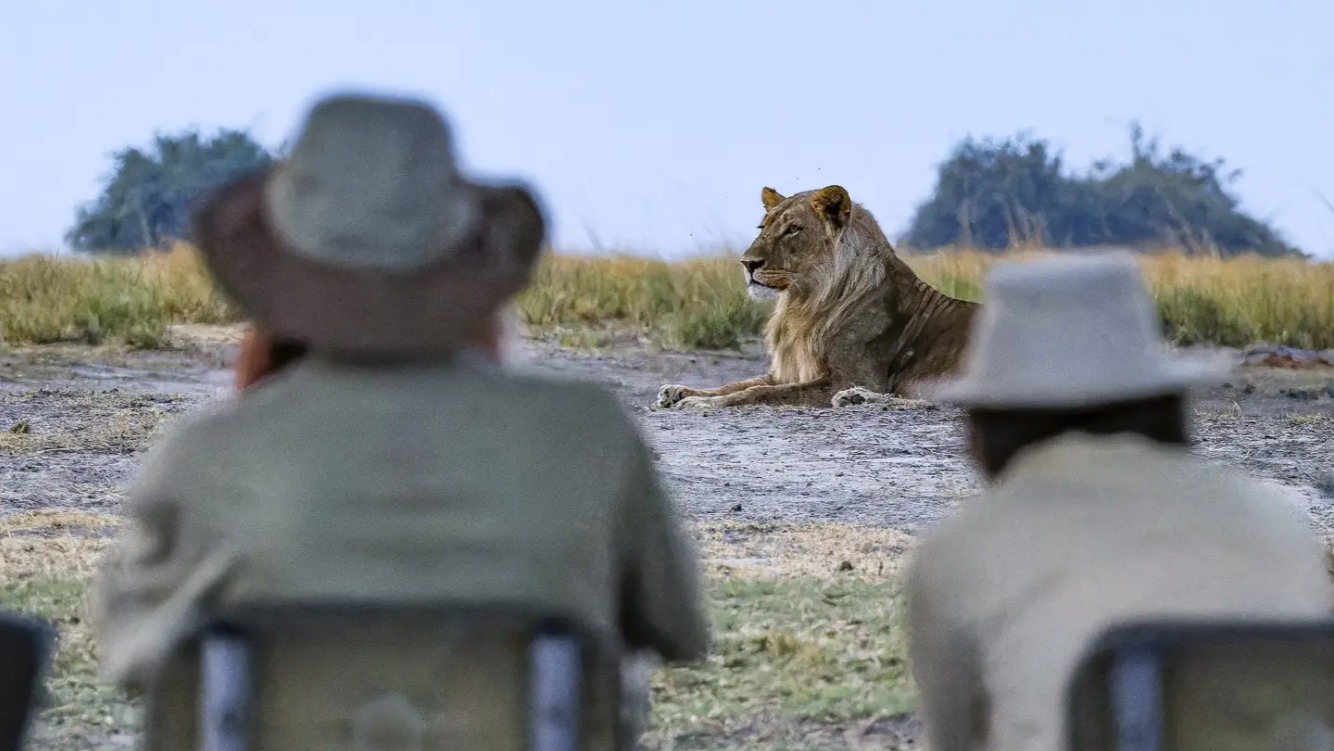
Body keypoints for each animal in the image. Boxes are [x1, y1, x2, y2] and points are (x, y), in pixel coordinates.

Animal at [656, 186, 981, 410]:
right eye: (763, 227)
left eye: (792, 229)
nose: (747, 263)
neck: (802, 303)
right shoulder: (789, 371)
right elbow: (738, 383)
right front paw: (681, 391)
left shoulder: (851, 375)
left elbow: (761, 392)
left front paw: (701, 403)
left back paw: (857, 397)